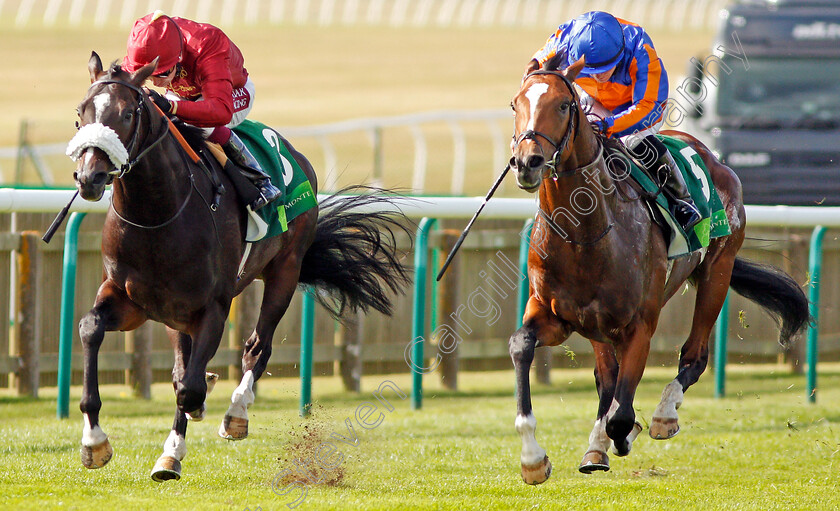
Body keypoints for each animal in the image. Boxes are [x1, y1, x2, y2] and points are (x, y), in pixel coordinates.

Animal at [71, 54, 410, 482]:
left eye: (128, 113)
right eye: (81, 113)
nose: (90, 177)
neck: (157, 215)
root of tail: (298, 157)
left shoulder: (213, 307)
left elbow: (190, 388)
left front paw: (180, 439)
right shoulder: (130, 300)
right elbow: (92, 329)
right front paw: (94, 442)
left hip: (285, 270)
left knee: (257, 347)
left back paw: (235, 413)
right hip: (174, 313)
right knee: (186, 367)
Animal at [508, 60, 812, 484]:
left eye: (564, 105)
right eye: (515, 104)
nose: (527, 162)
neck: (584, 235)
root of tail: (712, 157)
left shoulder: (640, 325)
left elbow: (622, 415)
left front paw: (623, 433)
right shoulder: (556, 315)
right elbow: (522, 344)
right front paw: (533, 458)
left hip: (718, 270)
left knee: (694, 356)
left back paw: (663, 415)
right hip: (598, 325)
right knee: (607, 376)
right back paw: (599, 444)